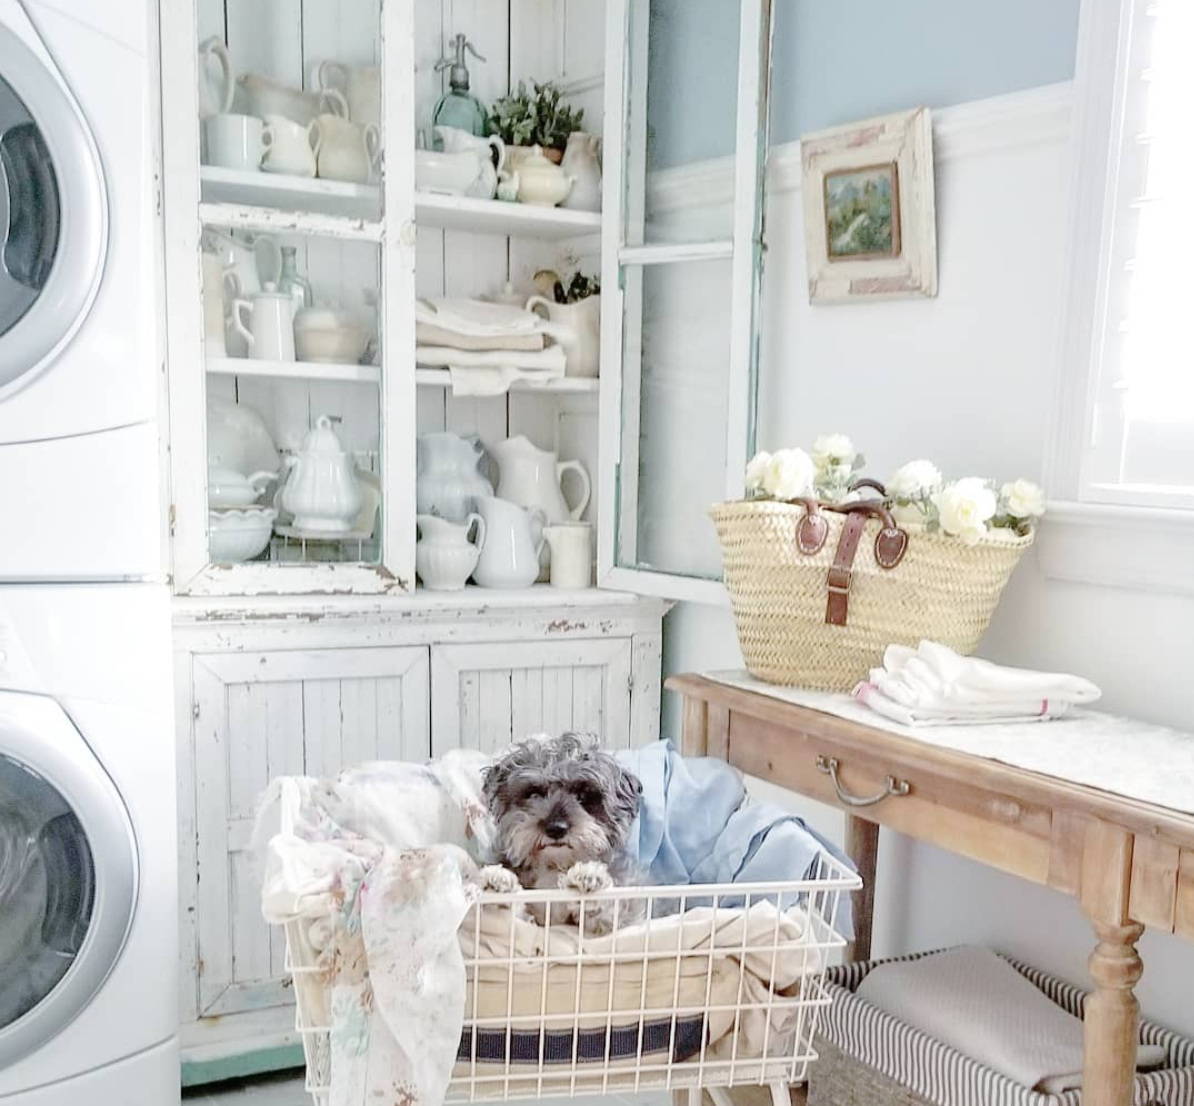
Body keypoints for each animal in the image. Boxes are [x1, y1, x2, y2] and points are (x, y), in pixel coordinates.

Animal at [477, 735, 644, 936]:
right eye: (533, 793)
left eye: (584, 796)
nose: (556, 828)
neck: (555, 866)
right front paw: (498, 883)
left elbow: (610, 913)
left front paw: (589, 877)